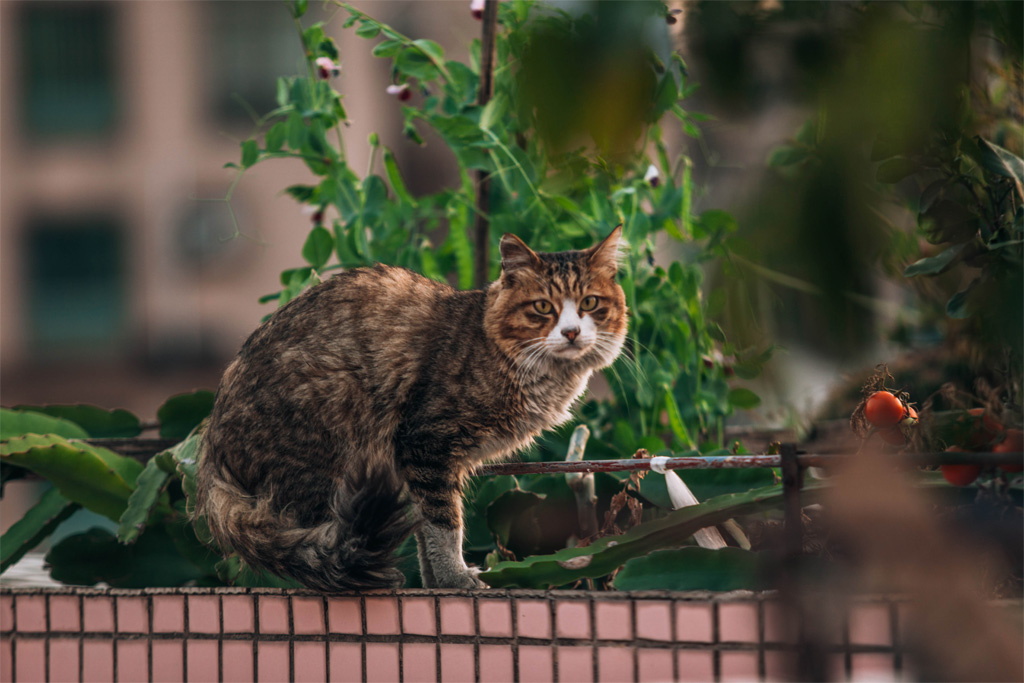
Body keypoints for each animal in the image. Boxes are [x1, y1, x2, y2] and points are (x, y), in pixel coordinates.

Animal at [191, 227, 622, 589]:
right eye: (543, 308)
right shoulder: (427, 444)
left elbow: (424, 534)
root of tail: (210, 449)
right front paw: (457, 579)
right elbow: (444, 524)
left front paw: (435, 584)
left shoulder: (415, 466)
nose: (571, 332)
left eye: (590, 303)